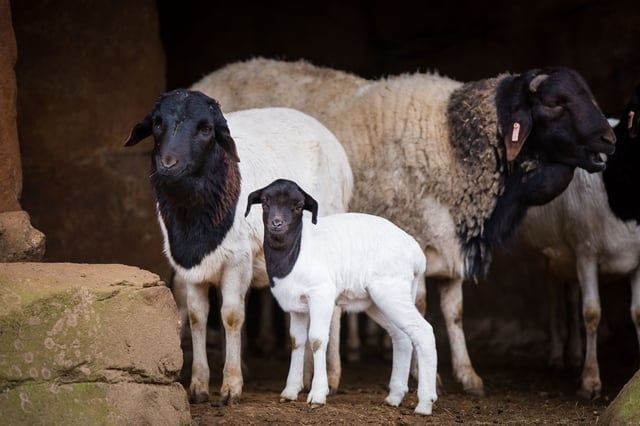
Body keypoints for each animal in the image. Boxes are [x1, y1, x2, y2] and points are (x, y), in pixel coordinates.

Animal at [124, 89, 353, 404]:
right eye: (157, 123)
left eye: (206, 129)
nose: (168, 164)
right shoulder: (190, 265)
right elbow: (197, 317)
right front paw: (198, 386)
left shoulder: (237, 260)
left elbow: (231, 316)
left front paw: (231, 385)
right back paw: (306, 378)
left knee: (334, 310)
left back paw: (331, 376)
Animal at [244, 178, 438, 415]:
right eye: (264, 201)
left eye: (298, 206)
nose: (277, 223)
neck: (295, 250)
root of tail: (417, 255)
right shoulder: (296, 305)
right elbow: (297, 342)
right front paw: (289, 392)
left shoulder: (321, 295)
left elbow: (316, 340)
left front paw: (318, 395)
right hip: (379, 301)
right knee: (401, 337)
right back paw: (394, 397)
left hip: (392, 290)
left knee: (423, 331)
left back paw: (425, 404)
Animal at [515, 82, 640, 398]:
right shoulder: (586, 252)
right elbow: (592, 312)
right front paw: (590, 381)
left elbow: (637, 312)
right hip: (549, 252)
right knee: (553, 296)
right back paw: (557, 356)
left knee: (570, 295)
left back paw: (573, 354)